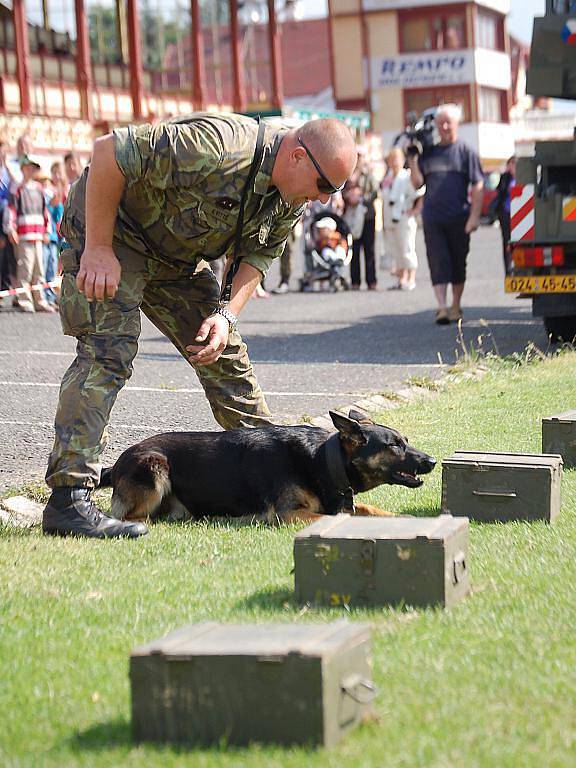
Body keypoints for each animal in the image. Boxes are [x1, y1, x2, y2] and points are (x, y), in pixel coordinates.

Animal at [100, 412, 436, 524]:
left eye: (405, 441)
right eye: (394, 446)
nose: (432, 461)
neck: (321, 461)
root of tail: (116, 464)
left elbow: (372, 510)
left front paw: (404, 520)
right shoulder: (290, 514)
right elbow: (343, 518)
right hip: (154, 464)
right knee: (129, 516)